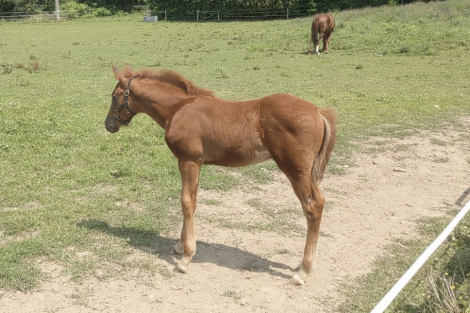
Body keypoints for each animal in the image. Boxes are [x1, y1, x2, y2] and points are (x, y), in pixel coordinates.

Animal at [104, 64, 336, 284]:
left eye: (114, 96)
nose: (108, 125)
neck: (177, 109)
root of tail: (318, 111)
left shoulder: (189, 160)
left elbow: (187, 202)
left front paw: (185, 258)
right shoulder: (194, 162)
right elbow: (190, 199)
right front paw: (180, 246)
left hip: (296, 171)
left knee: (312, 207)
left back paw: (303, 271)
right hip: (306, 172)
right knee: (320, 201)